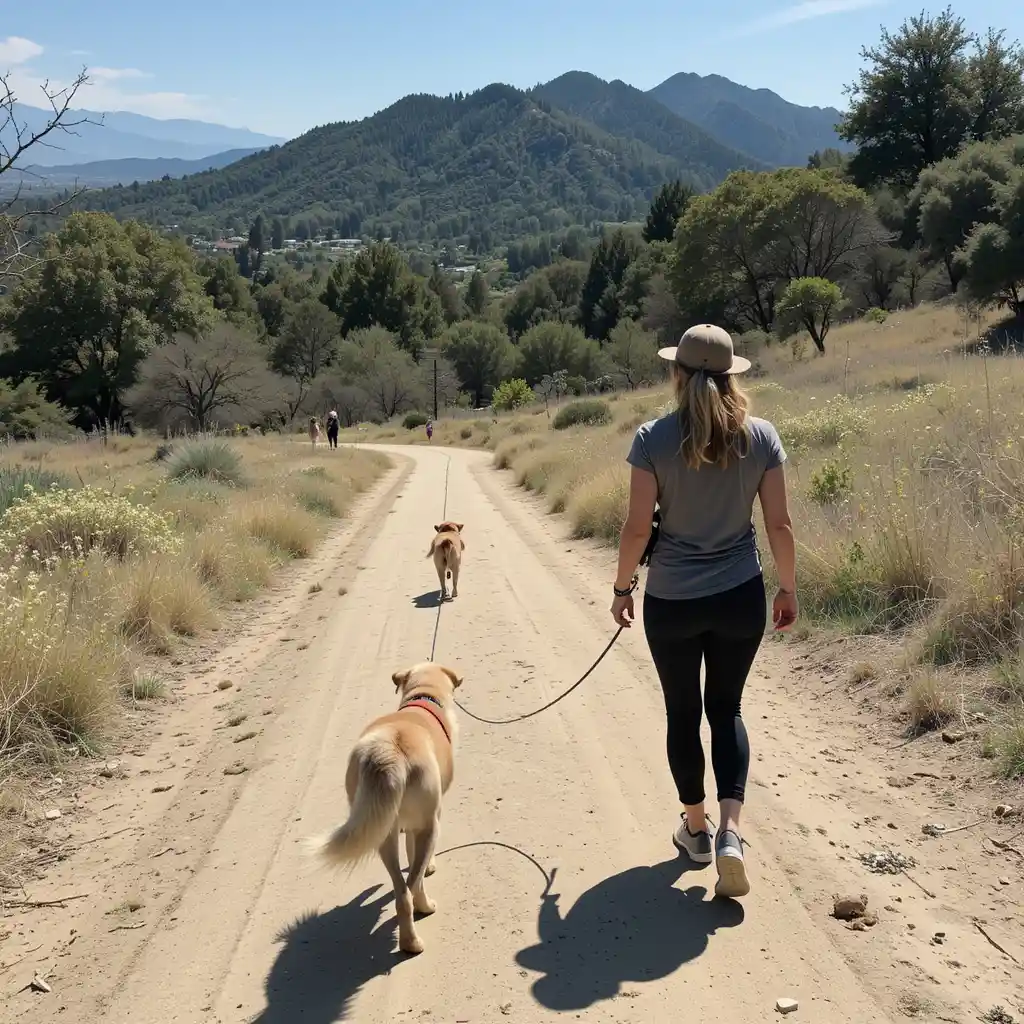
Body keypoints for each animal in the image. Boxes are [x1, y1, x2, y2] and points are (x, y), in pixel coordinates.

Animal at [313, 659, 462, 954]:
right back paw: (423, 914)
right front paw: (429, 866)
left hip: (381, 830)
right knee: (413, 885)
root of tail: (388, 751)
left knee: (401, 891)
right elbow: (419, 860)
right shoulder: (429, 819)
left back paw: (409, 941)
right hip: (427, 825)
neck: (422, 697)